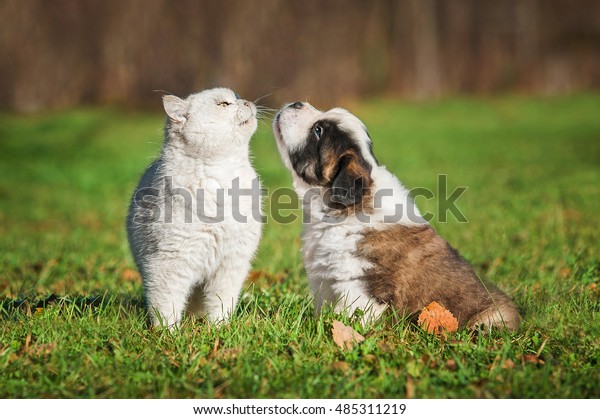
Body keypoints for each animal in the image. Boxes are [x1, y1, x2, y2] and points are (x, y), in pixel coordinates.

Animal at [126, 88, 262, 328]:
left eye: (236, 98)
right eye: (224, 104)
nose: (246, 101)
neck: (223, 173)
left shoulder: (231, 264)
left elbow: (222, 304)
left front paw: (220, 329)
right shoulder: (168, 264)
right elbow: (166, 307)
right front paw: (167, 333)